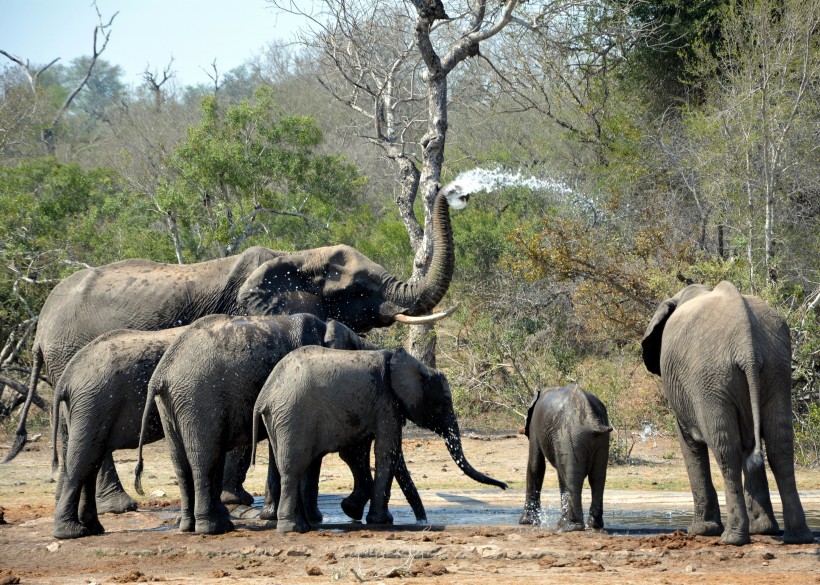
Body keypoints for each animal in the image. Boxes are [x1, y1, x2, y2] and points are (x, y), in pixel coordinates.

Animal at [50, 326, 187, 536]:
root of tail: (66, 377)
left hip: (88, 405)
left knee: (91, 461)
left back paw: (92, 528)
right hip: (93, 403)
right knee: (83, 460)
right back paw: (71, 532)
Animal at [250, 346, 510, 532]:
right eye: (444, 402)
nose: (505, 486)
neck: (409, 363)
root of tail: (265, 395)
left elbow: (358, 452)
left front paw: (353, 510)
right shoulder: (386, 401)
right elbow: (387, 449)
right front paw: (382, 521)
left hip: (280, 419)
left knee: (295, 465)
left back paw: (303, 526)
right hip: (293, 415)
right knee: (293, 468)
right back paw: (292, 529)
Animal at [520, 386, 608, 532]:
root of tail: (591, 419)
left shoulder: (534, 427)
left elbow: (536, 465)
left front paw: (526, 522)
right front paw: (560, 522)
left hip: (569, 435)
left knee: (572, 478)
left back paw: (571, 527)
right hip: (599, 440)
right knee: (596, 477)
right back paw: (593, 526)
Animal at [644, 280, 816, 544]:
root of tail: (747, 346)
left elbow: (690, 444)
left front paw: (701, 531)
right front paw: (763, 529)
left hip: (710, 378)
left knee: (726, 450)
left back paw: (732, 538)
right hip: (776, 368)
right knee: (780, 446)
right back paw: (796, 536)